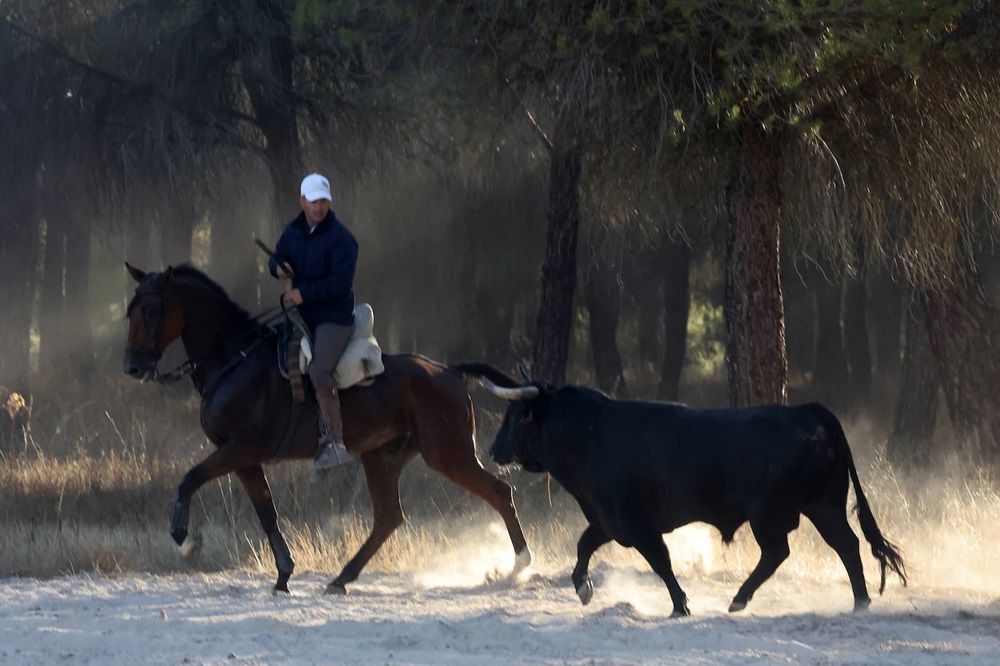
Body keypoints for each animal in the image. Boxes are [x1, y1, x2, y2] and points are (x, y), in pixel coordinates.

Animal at [120, 262, 532, 592]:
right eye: (129, 312)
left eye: (153, 310)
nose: (133, 367)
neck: (234, 360)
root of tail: (448, 371)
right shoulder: (244, 458)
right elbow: (266, 511)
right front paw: (283, 574)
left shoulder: (240, 449)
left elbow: (190, 479)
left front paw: (185, 542)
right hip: (382, 458)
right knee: (388, 517)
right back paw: (342, 578)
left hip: (448, 454)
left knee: (500, 492)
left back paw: (520, 566)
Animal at [458, 364, 912, 612]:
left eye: (516, 416)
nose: (494, 450)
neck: (591, 434)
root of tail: (812, 411)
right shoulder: (608, 520)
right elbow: (584, 545)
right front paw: (583, 587)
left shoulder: (636, 523)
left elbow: (660, 562)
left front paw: (680, 604)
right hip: (824, 505)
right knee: (846, 546)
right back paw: (860, 602)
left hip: (773, 514)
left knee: (780, 552)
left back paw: (741, 598)